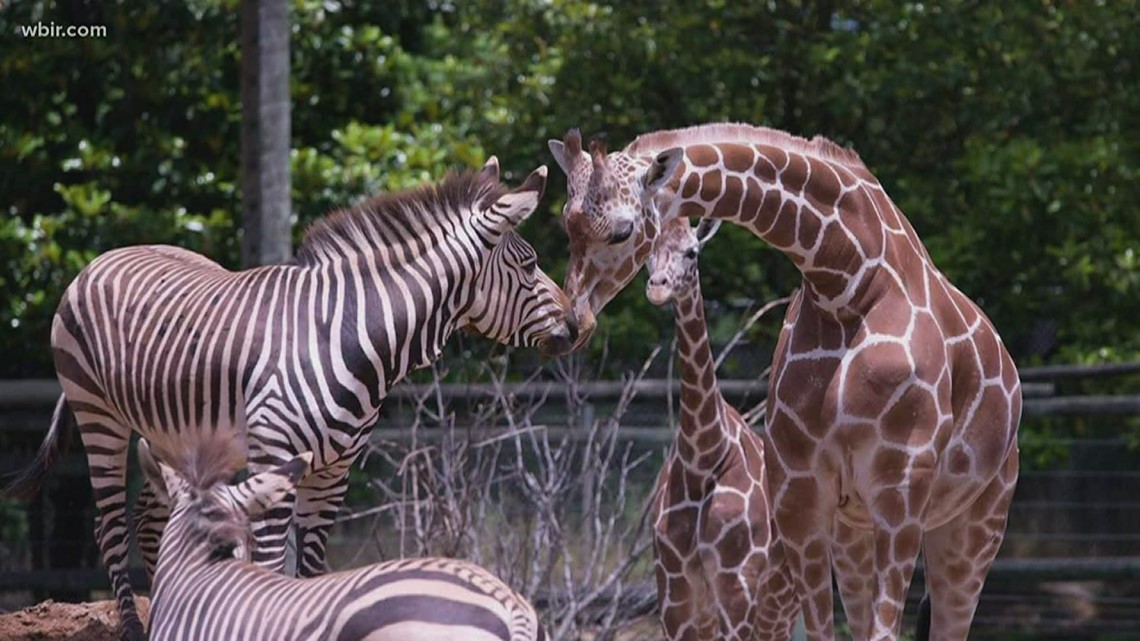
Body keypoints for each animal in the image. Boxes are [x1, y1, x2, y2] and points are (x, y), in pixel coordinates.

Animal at [645, 216, 798, 641]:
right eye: (649, 250)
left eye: (692, 252)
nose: (658, 286)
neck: (704, 456)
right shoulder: (674, 593)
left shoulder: (737, 587)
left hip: (780, 602)